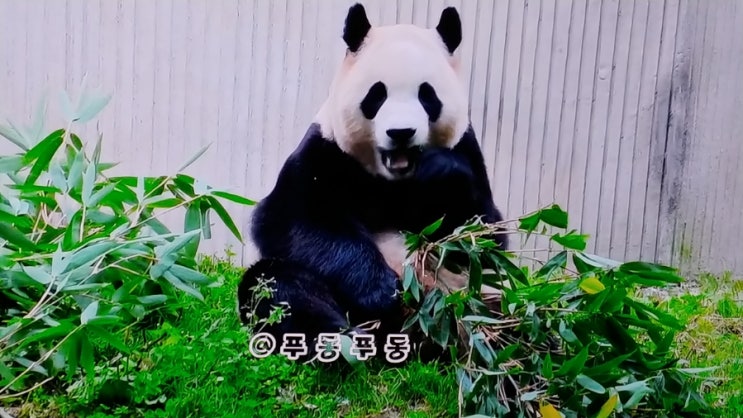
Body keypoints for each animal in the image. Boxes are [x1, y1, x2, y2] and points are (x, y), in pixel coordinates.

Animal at [237, 3, 507, 360]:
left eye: (427, 95)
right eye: (377, 95)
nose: (401, 132)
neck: (392, 180)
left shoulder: (468, 150)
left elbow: (486, 239)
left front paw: (439, 172)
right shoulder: (325, 152)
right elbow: (294, 221)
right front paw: (380, 290)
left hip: (486, 302)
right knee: (279, 287)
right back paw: (338, 340)